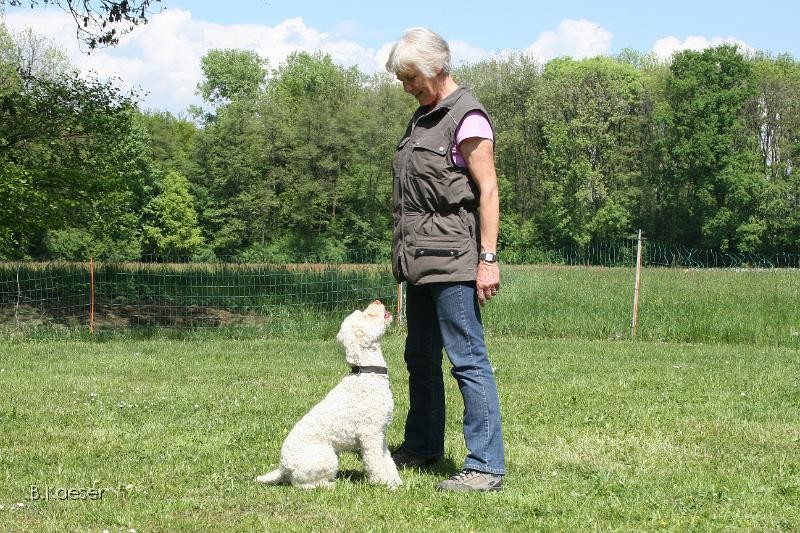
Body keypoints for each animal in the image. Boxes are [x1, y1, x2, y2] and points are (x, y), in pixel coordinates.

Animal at [256, 300, 402, 489]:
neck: (367, 372)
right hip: (326, 455)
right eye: (365, 315)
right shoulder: (371, 435)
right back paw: (331, 485)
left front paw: (395, 480)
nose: (377, 301)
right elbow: (376, 463)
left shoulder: (381, 434)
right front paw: (385, 484)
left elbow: (388, 460)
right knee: (302, 484)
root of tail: (283, 467)